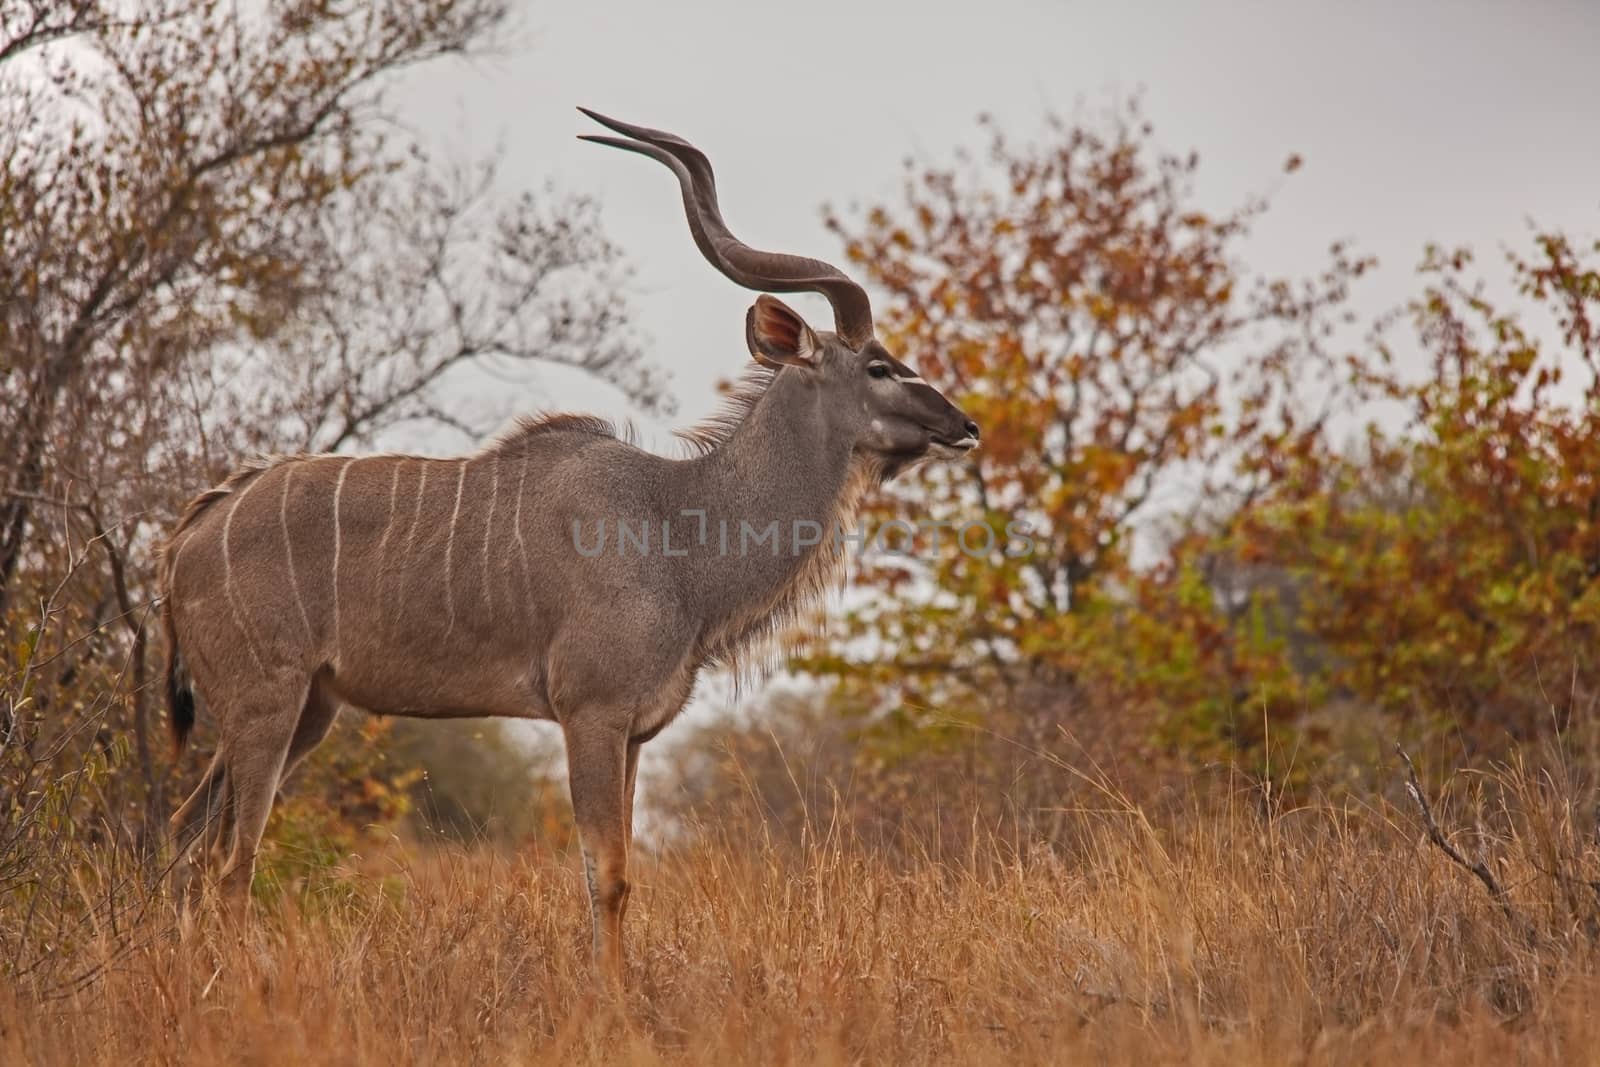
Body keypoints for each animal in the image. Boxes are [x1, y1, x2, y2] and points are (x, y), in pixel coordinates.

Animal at [168, 108, 979, 985]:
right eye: (879, 366)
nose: (964, 424)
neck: (676, 522)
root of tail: (191, 531)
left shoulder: (633, 733)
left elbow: (615, 873)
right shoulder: (591, 712)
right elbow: (610, 875)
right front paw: (609, 998)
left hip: (309, 710)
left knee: (190, 835)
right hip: (266, 703)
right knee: (231, 859)